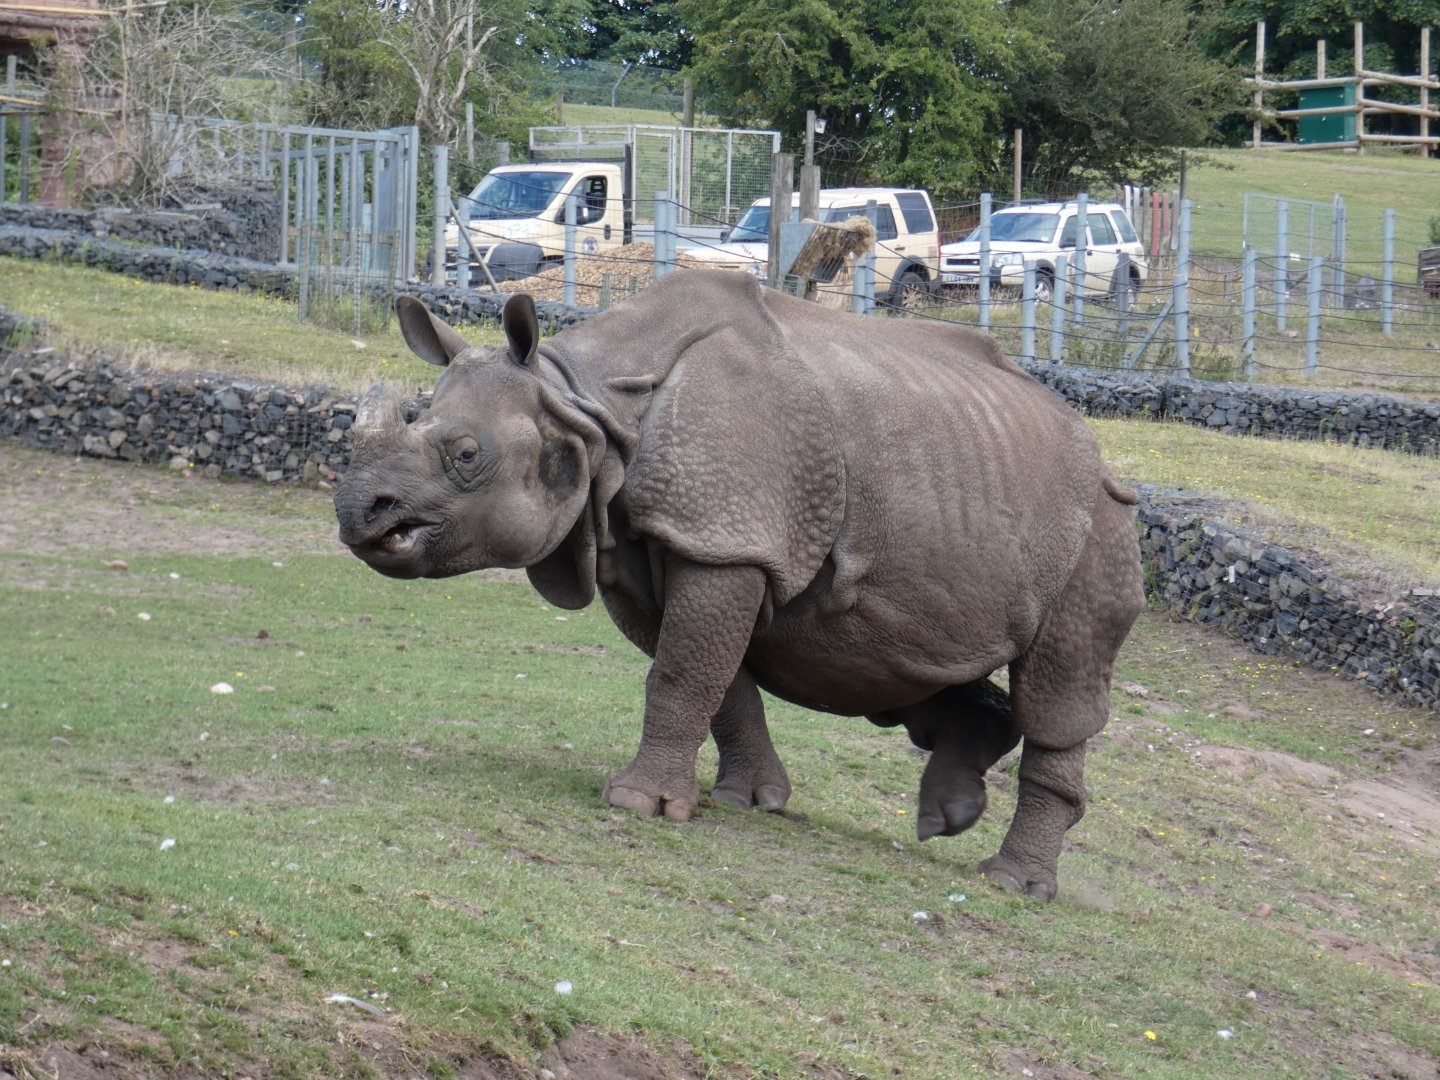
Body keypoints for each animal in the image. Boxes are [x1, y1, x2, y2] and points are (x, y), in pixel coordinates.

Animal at [335, 269, 1144, 900]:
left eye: (467, 455)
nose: (358, 513)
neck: (582, 402)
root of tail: (1098, 445)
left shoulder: (725, 542)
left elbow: (684, 672)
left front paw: (635, 804)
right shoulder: (651, 548)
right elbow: (716, 678)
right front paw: (746, 801)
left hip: (1100, 528)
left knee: (1057, 684)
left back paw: (1011, 883)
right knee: (904, 660)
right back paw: (947, 818)